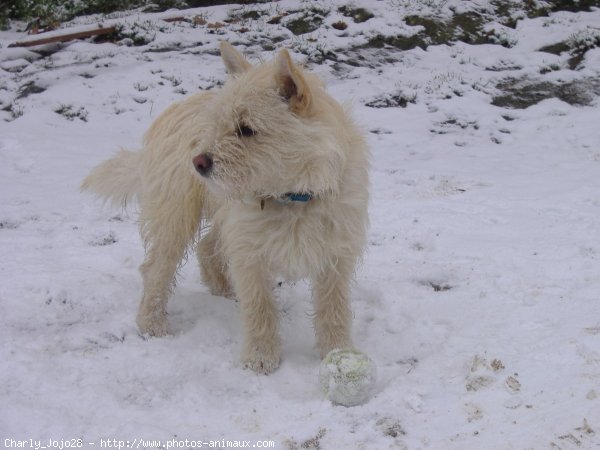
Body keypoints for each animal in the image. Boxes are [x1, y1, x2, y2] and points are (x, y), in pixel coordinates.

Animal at [81, 42, 368, 374]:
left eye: (246, 129)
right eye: (219, 126)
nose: (198, 162)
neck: (293, 194)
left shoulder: (335, 255)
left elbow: (334, 307)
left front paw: (337, 351)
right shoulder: (250, 253)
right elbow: (260, 306)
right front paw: (260, 357)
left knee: (206, 246)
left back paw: (222, 289)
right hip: (176, 216)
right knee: (156, 269)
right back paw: (152, 323)